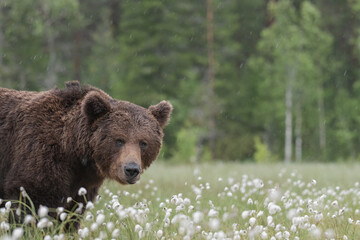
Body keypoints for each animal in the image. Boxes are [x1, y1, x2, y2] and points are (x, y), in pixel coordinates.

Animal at [0, 81, 172, 229]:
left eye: (143, 142)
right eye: (119, 140)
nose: (131, 170)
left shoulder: (81, 186)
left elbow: (71, 214)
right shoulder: (39, 156)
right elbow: (30, 204)